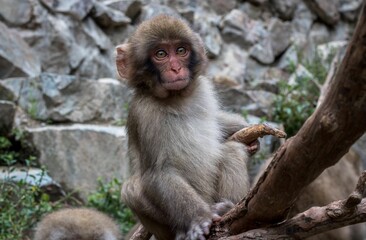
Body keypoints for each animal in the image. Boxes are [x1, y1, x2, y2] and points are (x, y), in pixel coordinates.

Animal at [116, 15, 258, 240]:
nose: (175, 69)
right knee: (131, 189)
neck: (176, 98)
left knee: (231, 150)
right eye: (161, 54)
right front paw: (199, 219)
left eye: (181, 50)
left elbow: (216, 123)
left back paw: (229, 207)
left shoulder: (203, 89)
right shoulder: (144, 113)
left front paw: (247, 130)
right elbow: (159, 172)